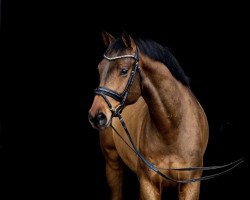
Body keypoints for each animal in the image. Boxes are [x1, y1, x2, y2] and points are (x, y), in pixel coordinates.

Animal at [89, 32, 210, 199]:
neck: (172, 130)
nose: (96, 116)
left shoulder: (191, 185)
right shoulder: (148, 185)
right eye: (99, 68)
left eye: (124, 70)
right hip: (112, 164)